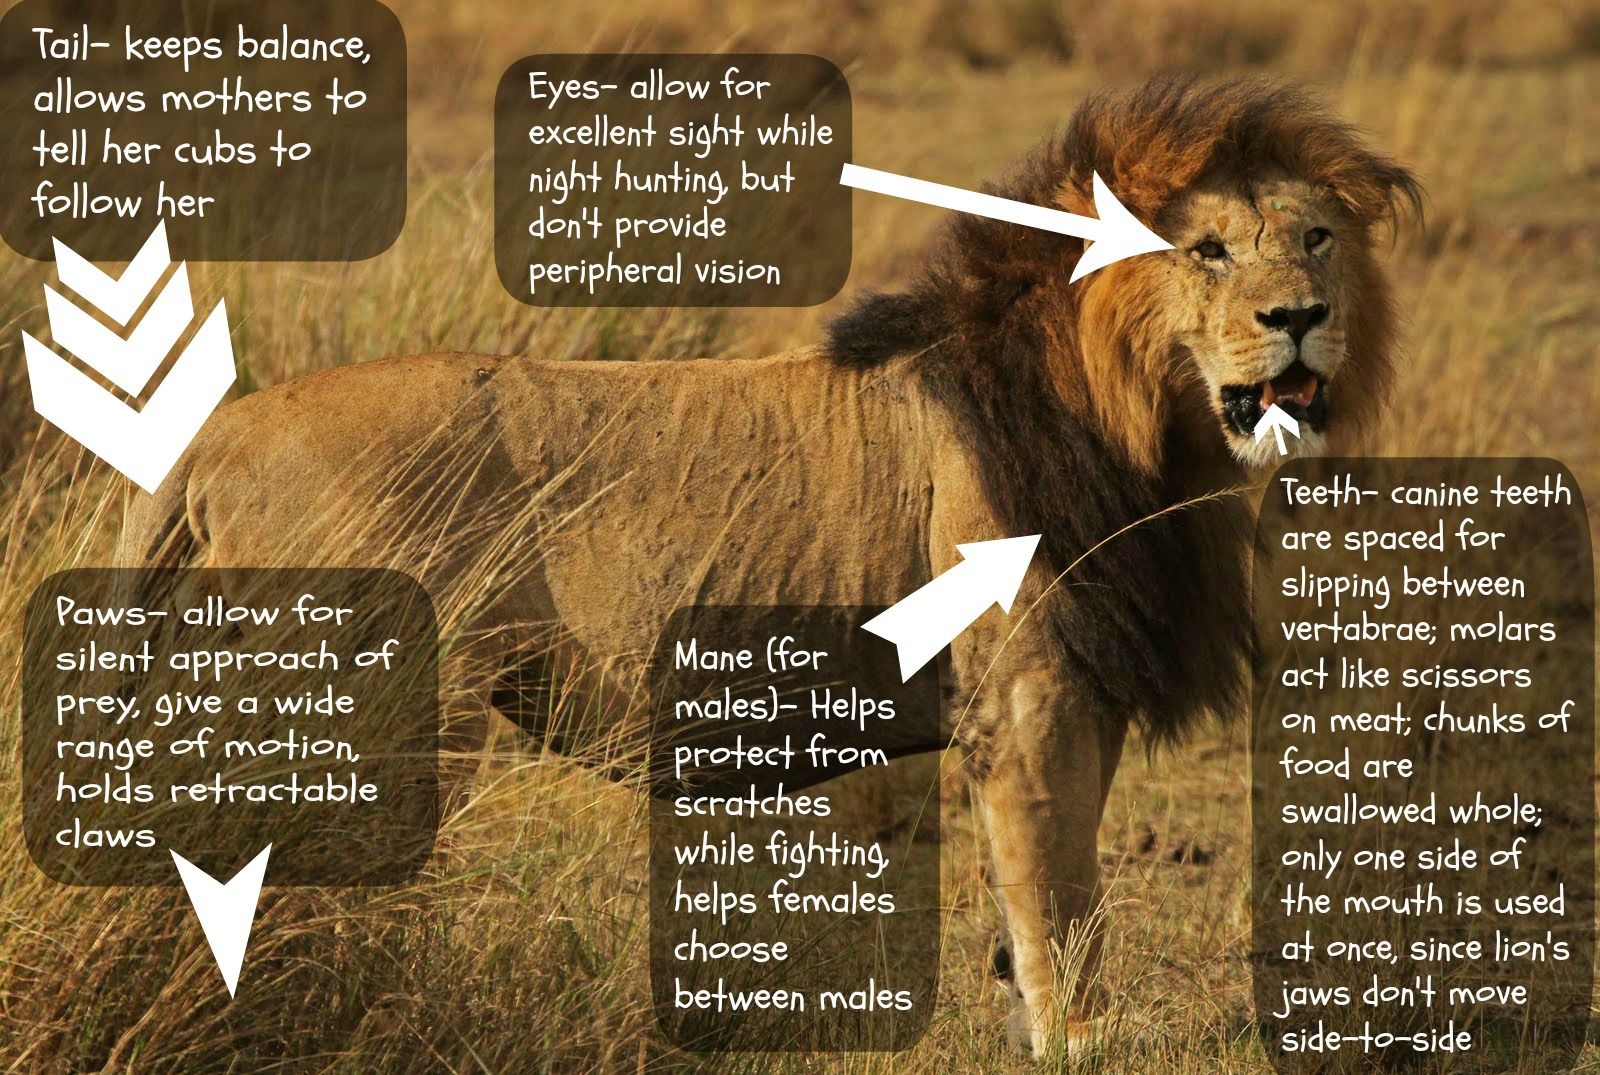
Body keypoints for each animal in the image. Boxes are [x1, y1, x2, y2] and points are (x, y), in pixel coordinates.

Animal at [116, 75, 1419, 1055]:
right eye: (1206, 251)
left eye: (1315, 239)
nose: (1299, 317)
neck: (1152, 429)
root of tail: (213, 438)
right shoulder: (1027, 697)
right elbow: (1059, 894)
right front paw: (1086, 1043)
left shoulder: (1075, 689)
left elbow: (1046, 901)